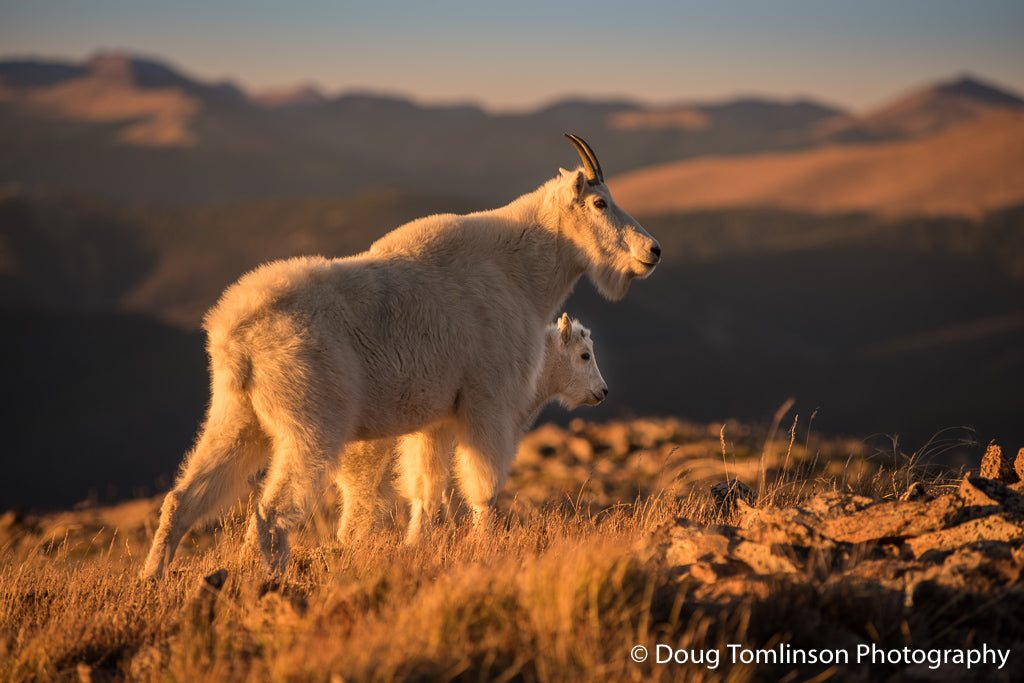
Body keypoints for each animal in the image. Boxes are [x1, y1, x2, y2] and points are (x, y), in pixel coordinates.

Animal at [141, 134, 659, 578]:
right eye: (600, 202)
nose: (652, 250)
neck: (520, 275)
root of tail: (235, 335)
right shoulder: (487, 398)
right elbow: (483, 485)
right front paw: (485, 546)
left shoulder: (437, 416)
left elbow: (426, 489)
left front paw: (417, 546)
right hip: (312, 422)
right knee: (272, 511)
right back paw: (274, 579)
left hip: (235, 414)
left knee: (184, 498)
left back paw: (153, 580)